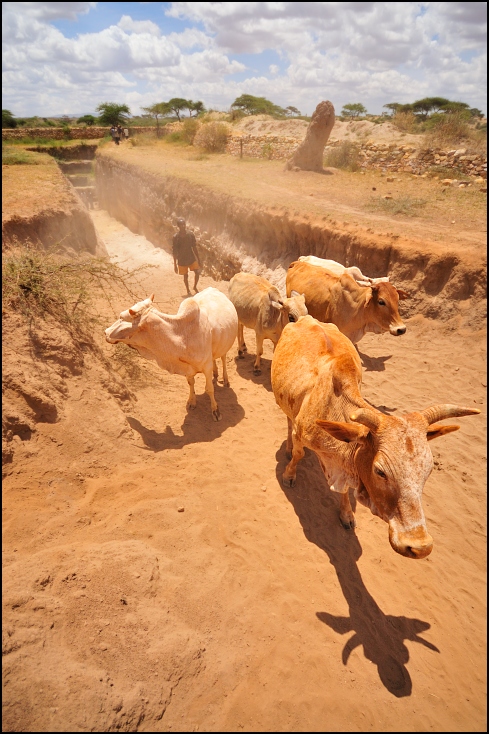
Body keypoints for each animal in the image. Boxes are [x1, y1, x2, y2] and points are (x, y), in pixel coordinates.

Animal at [105, 288, 238, 422]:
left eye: (121, 317)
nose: (105, 332)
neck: (181, 337)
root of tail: (212, 288)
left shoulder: (206, 366)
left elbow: (209, 389)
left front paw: (215, 411)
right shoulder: (188, 369)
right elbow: (191, 383)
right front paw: (192, 402)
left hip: (225, 346)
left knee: (223, 359)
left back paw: (225, 380)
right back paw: (215, 374)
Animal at [268, 314, 478, 560]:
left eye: (428, 471)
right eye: (380, 471)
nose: (419, 546)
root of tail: (305, 317)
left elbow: (344, 491)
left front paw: (346, 514)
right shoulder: (302, 433)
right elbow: (299, 453)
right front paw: (289, 474)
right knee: (288, 421)